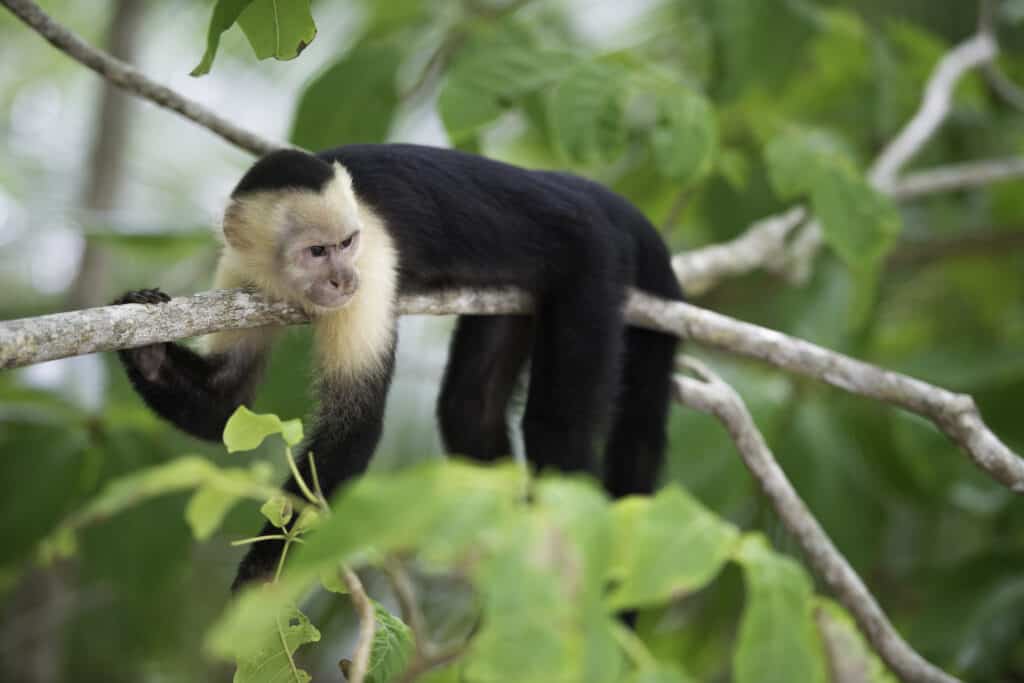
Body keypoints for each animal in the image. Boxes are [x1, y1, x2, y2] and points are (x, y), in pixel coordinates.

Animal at [114, 143, 679, 589]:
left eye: (346, 244)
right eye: (316, 251)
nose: (342, 280)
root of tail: (584, 193)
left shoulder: (373, 261)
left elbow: (355, 425)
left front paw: (261, 571)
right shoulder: (238, 269)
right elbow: (226, 403)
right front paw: (145, 344)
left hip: (594, 260)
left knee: (558, 430)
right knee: (470, 406)